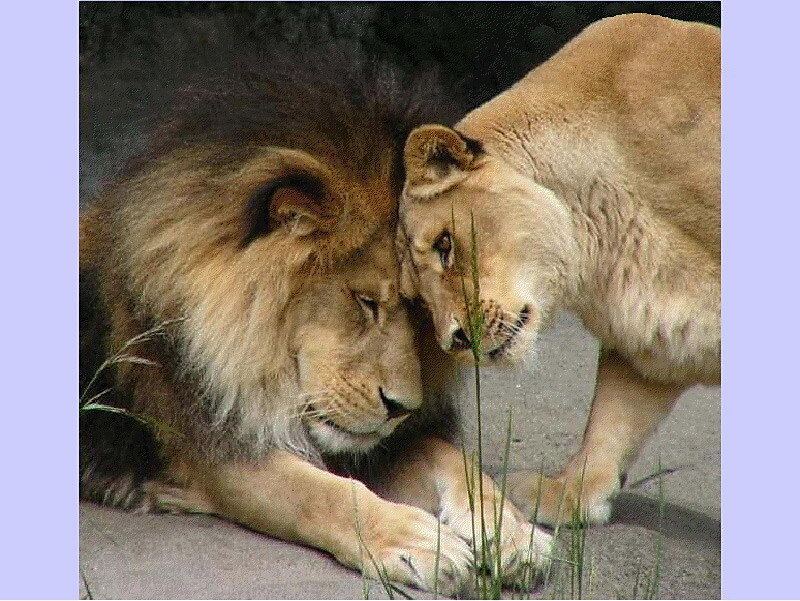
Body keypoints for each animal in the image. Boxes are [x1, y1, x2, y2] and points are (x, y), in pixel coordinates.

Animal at [80, 45, 551, 595]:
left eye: (421, 310)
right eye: (365, 301)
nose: (401, 408)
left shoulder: (382, 445)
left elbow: (459, 463)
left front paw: (514, 533)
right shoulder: (217, 452)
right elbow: (325, 496)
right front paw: (420, 542)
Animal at [397, 14, 720, 526]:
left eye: (445, 246)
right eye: (415, 297)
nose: (457, 341)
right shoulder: (656, 332)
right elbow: (613, 419)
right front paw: (566, 495)